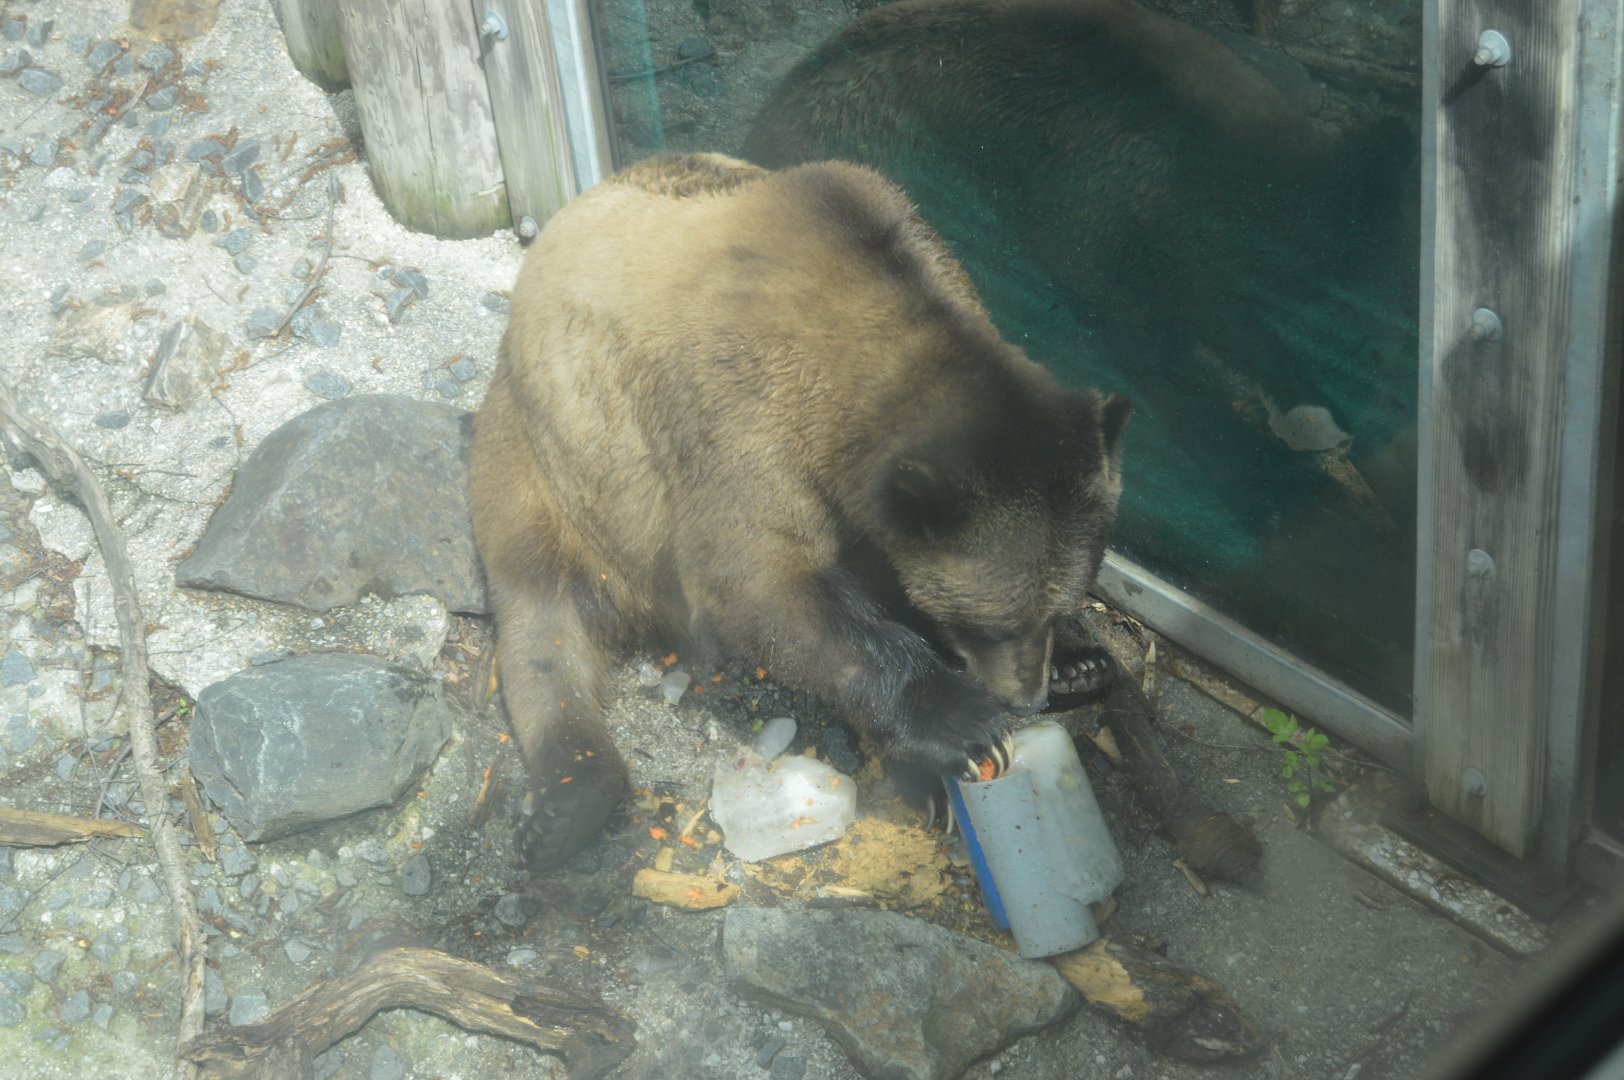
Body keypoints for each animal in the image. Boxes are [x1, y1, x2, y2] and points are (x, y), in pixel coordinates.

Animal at [469, 153, 1130, 871]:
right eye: (990, 625)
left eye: (1061, 605)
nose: (1026, 697)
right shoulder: (738, 426)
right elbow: (762, 590)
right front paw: (966, 726)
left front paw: (1079, 658)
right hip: (550, 468)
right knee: (545, 630)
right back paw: (568, 799)